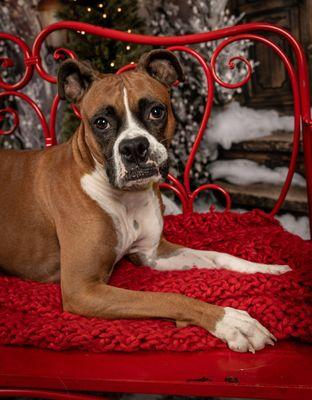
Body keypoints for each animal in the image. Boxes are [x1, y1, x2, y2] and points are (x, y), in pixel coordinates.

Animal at [1, 50, 292, 354]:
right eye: (101, 122)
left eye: (156, 111)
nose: (133, 147)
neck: (125, 197)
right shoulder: (81, 289)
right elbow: (168, 297)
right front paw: (231, 321)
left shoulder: (152, 253)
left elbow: (216, 256)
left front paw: (267, 269)